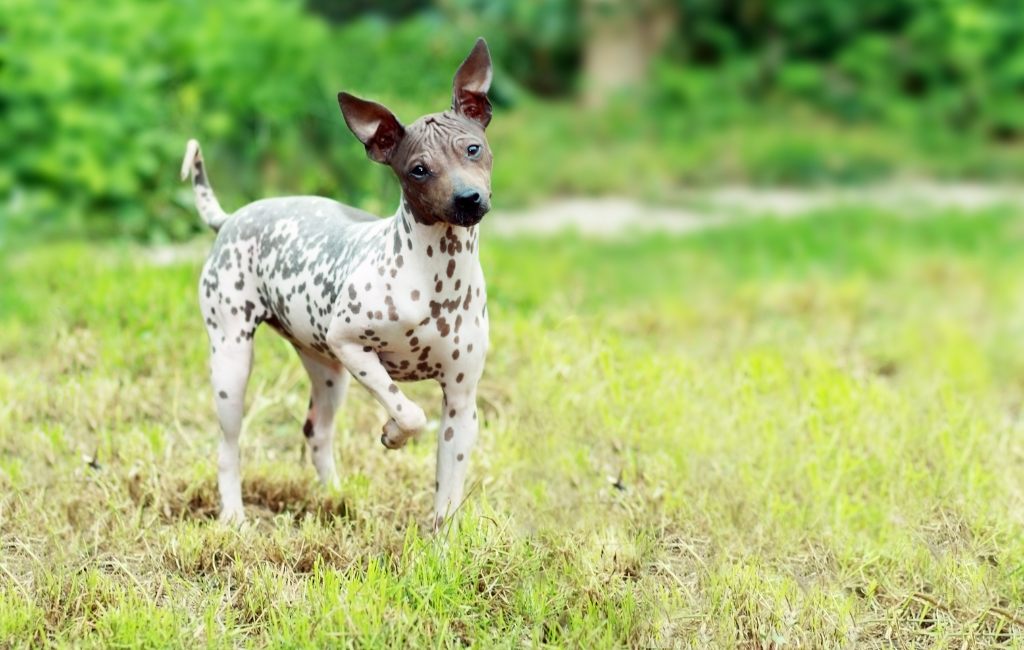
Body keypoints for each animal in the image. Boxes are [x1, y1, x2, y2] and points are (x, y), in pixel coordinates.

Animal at [183, 38, 495, 532]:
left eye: (472, 148)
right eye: (418, 169)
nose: (468, 198)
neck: (435, 278)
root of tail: (231, 218)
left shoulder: (462, 406)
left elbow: (447, 496)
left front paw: (442, 545)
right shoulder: (351, 346)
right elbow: (410, 411)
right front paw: (393, 433)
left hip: (327, 372)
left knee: (316, 431)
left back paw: (335, 497)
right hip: (232, 362)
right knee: (228, 447)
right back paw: (234, 516)